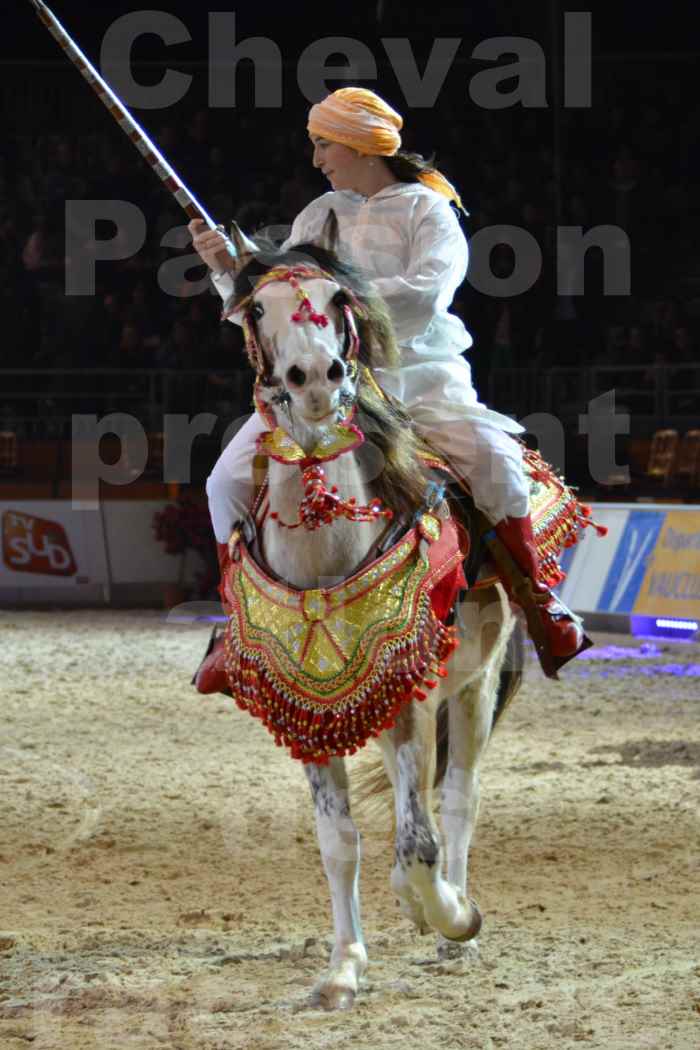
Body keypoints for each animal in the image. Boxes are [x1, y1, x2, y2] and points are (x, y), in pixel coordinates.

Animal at [217, 225, 520, 1012]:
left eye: (336, 300)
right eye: (256, 309)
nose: (315, 380)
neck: (328, 552)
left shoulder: (410, 701)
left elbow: (419, 844)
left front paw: (452, 916)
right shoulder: (311, 714)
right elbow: (339, 842)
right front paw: (344, 965)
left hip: (472, 691)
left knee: (458, 801)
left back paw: (452, 923)